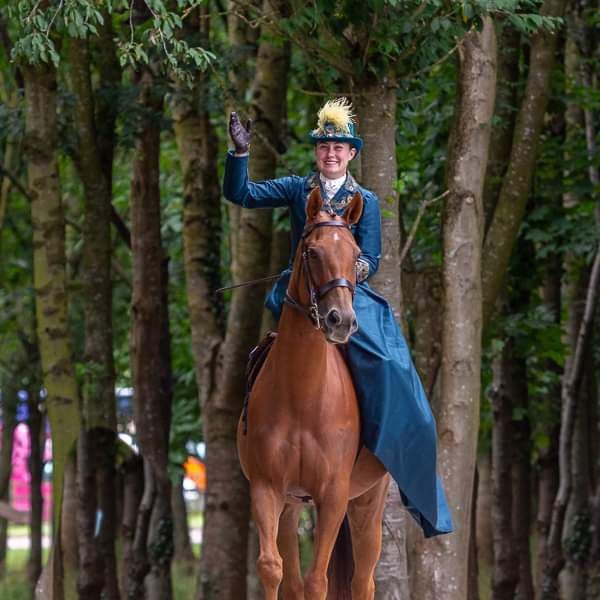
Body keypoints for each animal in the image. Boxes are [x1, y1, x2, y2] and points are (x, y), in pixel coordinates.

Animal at [238, 189, 390, 600]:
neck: (302, 396)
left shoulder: (334, 494)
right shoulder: (268, 489)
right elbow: (272, 569)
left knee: (363, 581)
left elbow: (318, 580)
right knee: (292, 579)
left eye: (355, 254)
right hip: (292, 507)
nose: (341, 320)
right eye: (312, 252)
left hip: (368, 502)